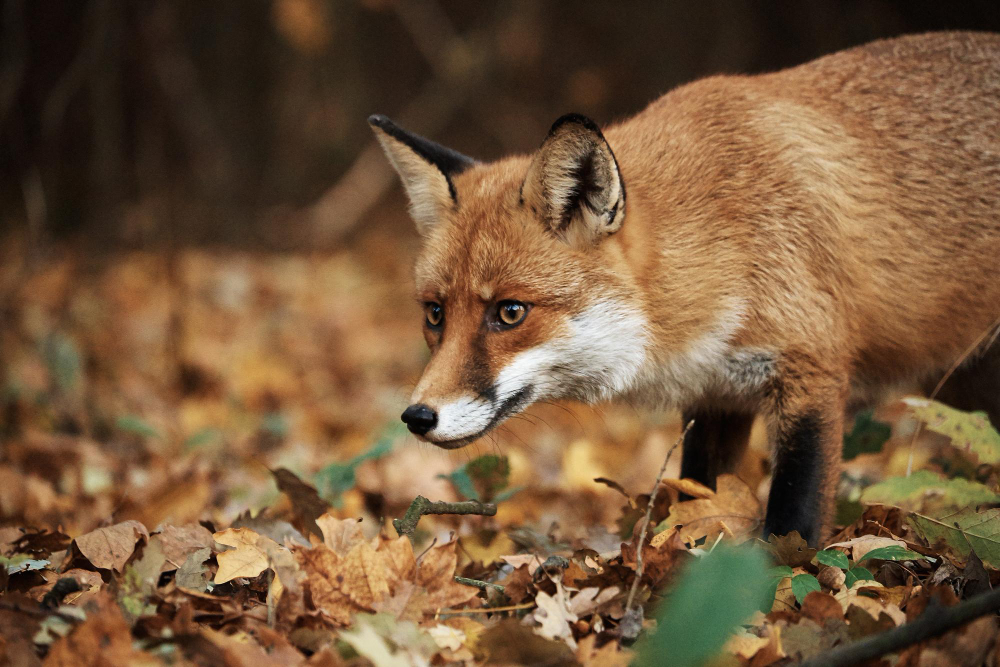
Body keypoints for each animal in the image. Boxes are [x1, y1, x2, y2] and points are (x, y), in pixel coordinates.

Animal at [369, 32, 1000, 546]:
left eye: (509, 312)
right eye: (434, 314)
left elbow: (791, 525)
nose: (417, 417)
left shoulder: (812, 374)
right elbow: (699, 495)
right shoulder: (717, 397)